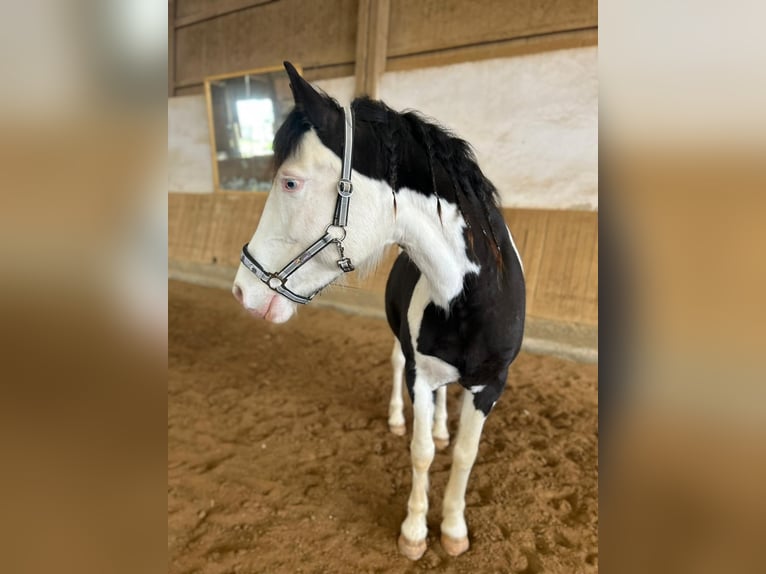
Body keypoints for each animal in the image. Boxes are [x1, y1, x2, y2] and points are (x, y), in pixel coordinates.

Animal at [231, 63, 524, 564]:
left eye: (290, 182)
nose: (241, 289)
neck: (470, 301)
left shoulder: (490, 385)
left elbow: (465, 456)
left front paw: (453, 529)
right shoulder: (419, 376)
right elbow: (422, 452)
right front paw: (414, 532)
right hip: (404, 354)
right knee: (398, 369)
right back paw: (398, 419)